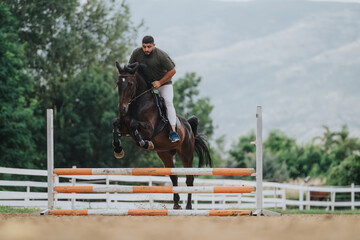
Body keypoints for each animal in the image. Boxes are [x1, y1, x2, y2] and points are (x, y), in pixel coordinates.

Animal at [112, 61, 212, 210]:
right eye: (118, 83)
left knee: (189, 179)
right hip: (165, 154)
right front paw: (118, 149)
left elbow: (135, 125)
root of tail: (188, 125)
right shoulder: (125, 128)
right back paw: (176, 203)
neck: (137, 104)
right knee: (174, 177)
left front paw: (145, 143)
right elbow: (115, 123)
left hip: (186, 153)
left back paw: (188, 206)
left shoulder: (149, 129)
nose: (122, 109)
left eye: (130, 83)